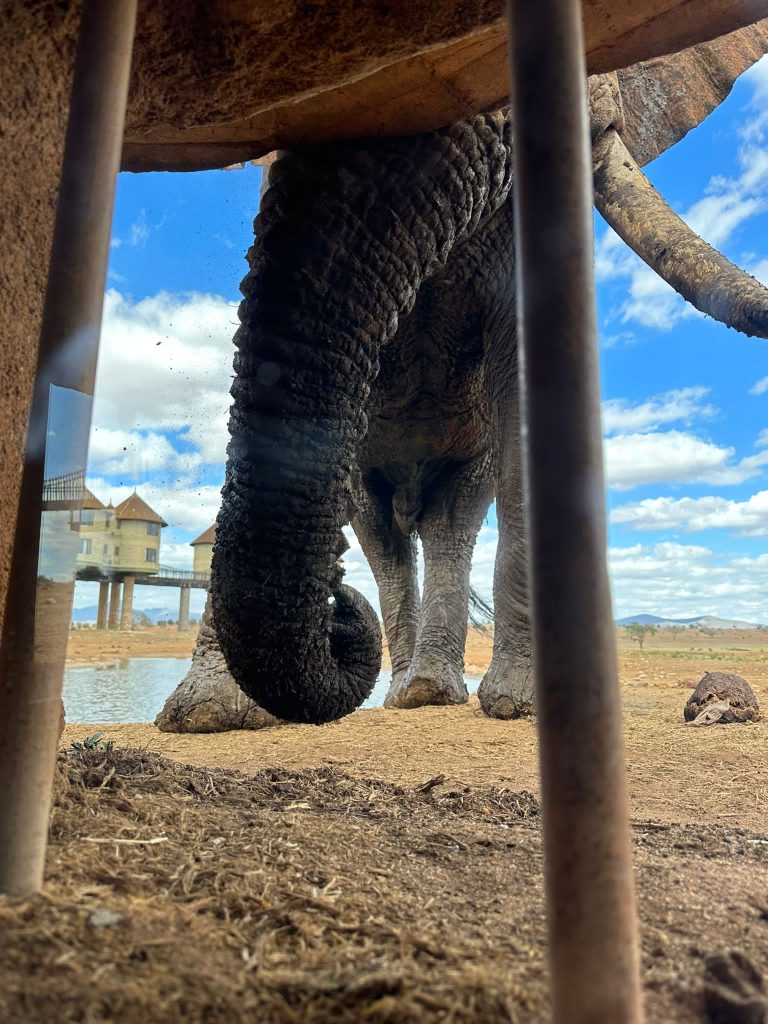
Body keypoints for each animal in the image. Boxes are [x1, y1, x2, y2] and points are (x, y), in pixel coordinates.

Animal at [157, 24, 768, 733]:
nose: (335, 596)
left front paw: (519, 705)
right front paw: (204, 714)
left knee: (449, 520)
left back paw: (427, 690)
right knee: (381, 531)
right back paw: (405, 689)